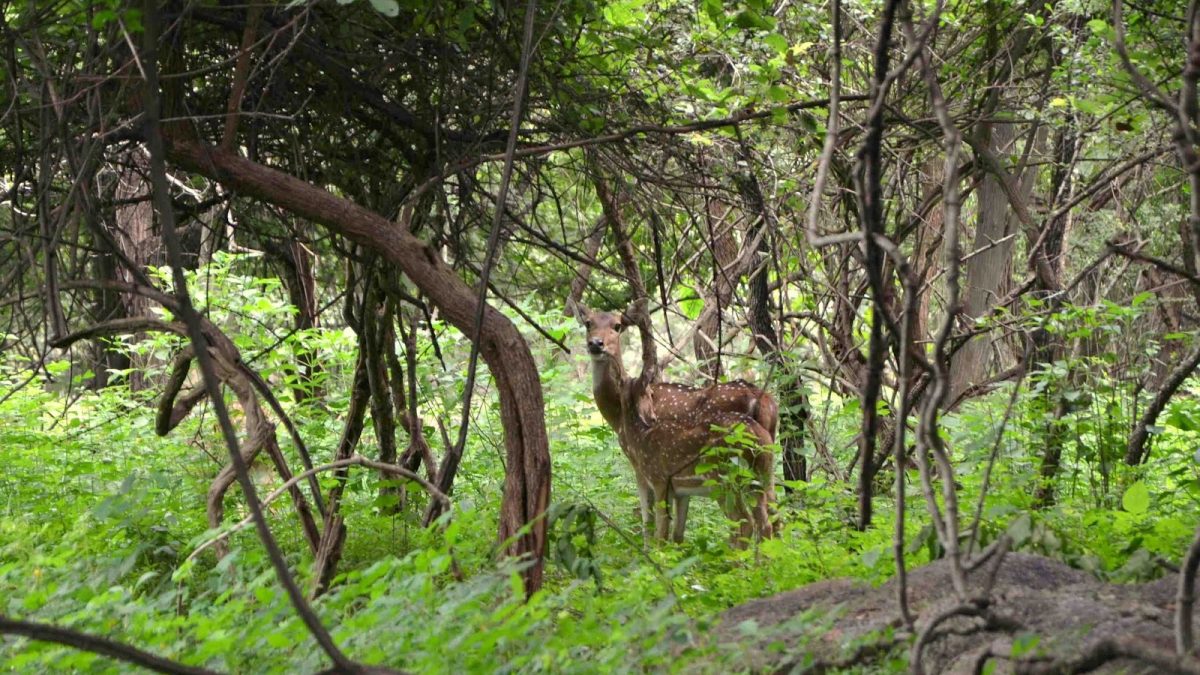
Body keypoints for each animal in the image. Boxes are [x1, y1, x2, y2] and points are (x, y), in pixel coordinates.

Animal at [568, 299, 782, 540]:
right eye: (588, 323)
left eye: (617, 325)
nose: (596, 343)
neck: (617, 415)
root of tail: (764, 400)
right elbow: (678, 530)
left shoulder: (640, 463)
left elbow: (649, 520)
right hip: (766, 461)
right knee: (774, 512)